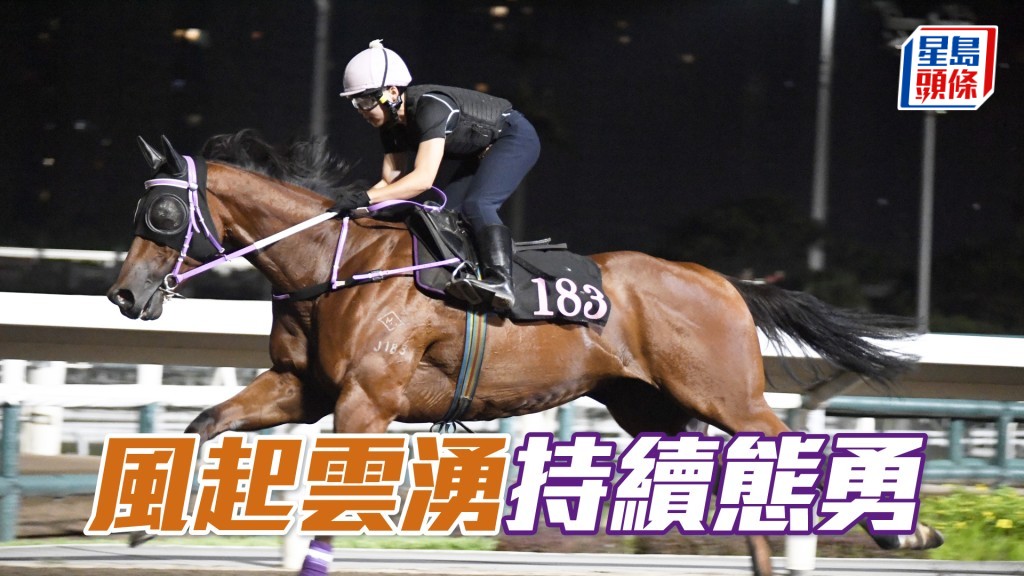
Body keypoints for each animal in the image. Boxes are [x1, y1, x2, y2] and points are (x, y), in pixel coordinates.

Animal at [108, 130, 943, 576]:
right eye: (140, 209)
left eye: (162, 213)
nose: (124, 295)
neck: (333, 264)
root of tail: (723, 281)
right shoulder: (299, 387)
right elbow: (205, 424)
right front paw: (144, 522)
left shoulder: (366, 400)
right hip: (653, 410)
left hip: (726, 394)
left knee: (801, 448)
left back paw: (907, 528)